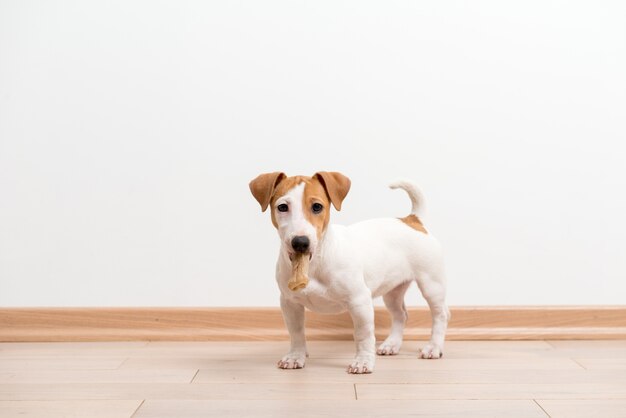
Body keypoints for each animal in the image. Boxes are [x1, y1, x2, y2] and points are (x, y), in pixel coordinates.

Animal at [246, 171, 446, 374]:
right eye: (282, 207)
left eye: (317, 207)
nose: (300, 242)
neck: (314, 262)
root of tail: (412, 220)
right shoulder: (290, 303)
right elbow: (296, 332)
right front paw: (296, 356)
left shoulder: (359, 300)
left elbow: (363, 334)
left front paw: (363, 362)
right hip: (393, 290)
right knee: (400, 315)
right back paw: (392, 344)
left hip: (431, 284)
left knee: (440, 315)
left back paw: (433, 347)